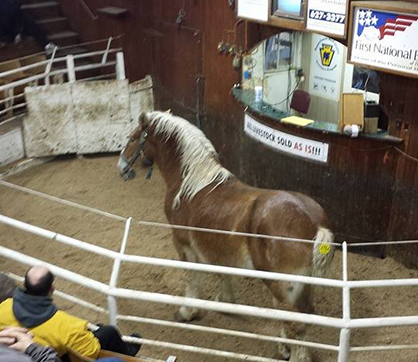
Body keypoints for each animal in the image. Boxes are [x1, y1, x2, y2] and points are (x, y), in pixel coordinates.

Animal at [117, 111, 334, 362]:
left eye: (133, 139)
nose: (121, 167)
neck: (190, 184)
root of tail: (315, 224)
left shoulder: (182, 242)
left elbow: (191, 276)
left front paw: (187, 312)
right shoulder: (217, 247)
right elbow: (222, 271)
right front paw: (225, 301)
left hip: (282, 285)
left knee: (295, 323)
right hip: (301, 287)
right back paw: (285, 347)